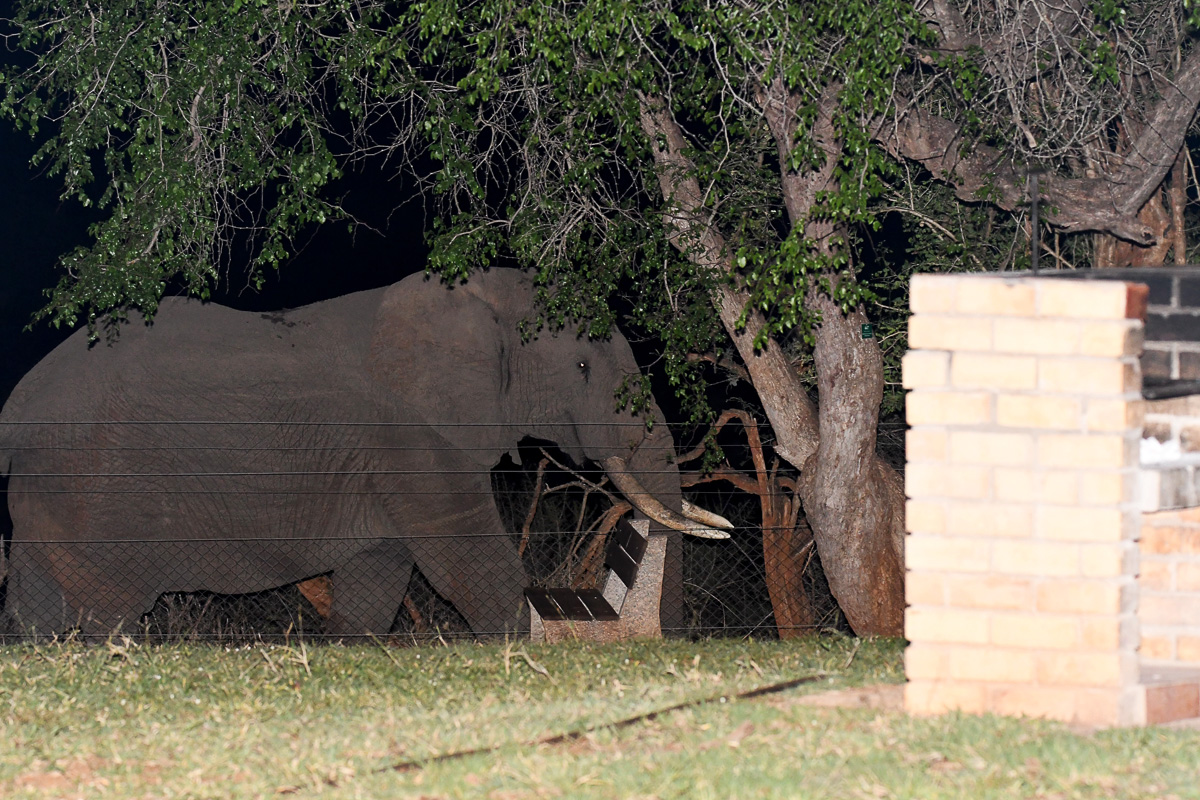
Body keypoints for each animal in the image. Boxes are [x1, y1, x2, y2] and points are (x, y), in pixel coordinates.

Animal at [0, 268, 730, 638]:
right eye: (581, 366)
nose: (673, 643)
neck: (468, 295)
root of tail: (16, 402)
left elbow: (377, 572)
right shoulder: (414, 437)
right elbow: (462, 554)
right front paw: (524, 642)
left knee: (37, 602)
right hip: (95, 493)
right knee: (108, 609)